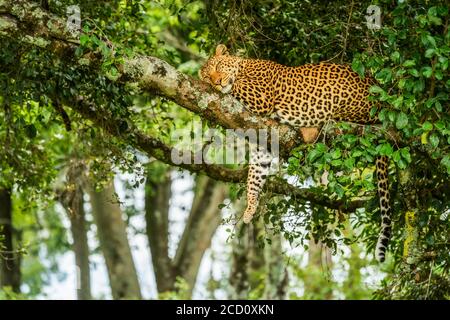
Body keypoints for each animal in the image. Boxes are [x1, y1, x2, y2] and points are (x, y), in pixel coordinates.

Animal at [199, 43, 392, 262]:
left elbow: (236, 86)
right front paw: (250, 207)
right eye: (208, 77)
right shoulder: (263, 140)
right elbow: (255, 175)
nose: (216, 82)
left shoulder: (261, 96)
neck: (244, 66)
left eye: (218, 66)